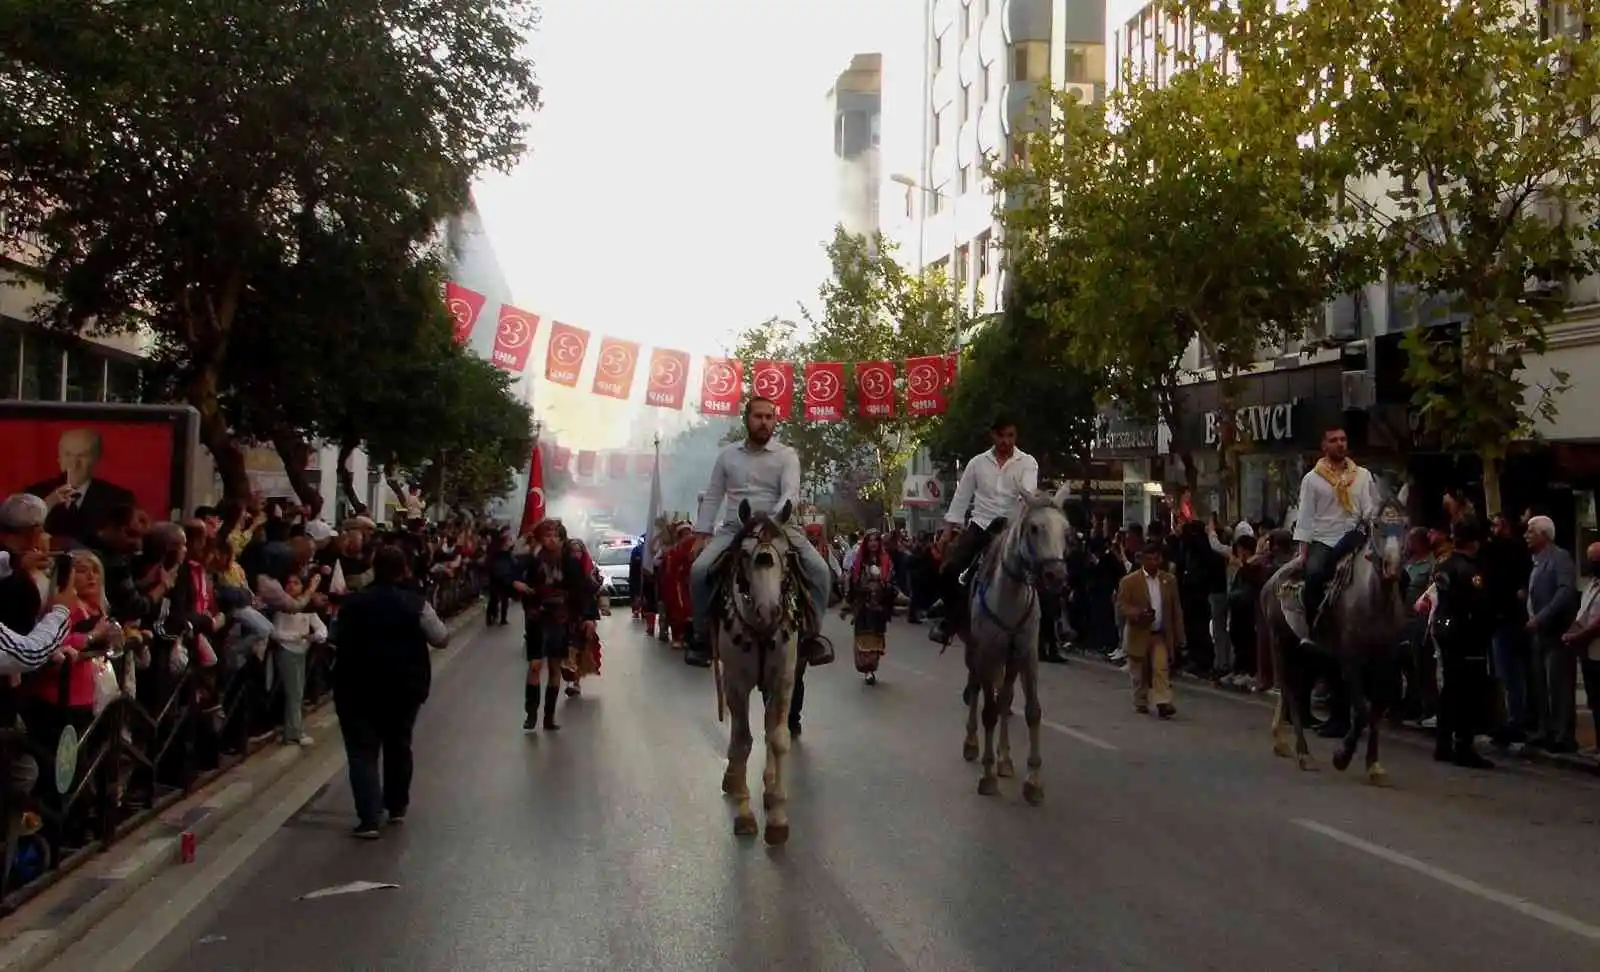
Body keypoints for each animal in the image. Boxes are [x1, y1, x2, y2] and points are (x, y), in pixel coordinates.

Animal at [716, 501, 806, 844]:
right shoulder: (736, 682)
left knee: (770, 727)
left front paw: (778, 815)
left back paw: (768, 786)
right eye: (743, 553)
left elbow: (778, 737)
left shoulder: (783, 678)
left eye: (787, 553)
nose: (769, 611)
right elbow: (742, 741)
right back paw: (733, 779)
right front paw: (744, 812)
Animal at [960, 486, 1075, 805]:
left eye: (1067, 531)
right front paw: (987, 775)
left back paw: (1005, 760)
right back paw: (972, 744)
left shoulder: (1027, 654)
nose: (1057, 577)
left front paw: (1033, 780)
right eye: (1034, 528)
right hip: (975, 651)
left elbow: (1031, 711)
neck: (1009, 595)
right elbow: (988, 711)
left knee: (1005, 699)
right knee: (976, 690)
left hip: (1009, 660)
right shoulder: (987, 652)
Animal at [1267, 501, 1408, 783]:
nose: (1392, 566)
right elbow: (1362, 711)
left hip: (1304, 656)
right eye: (1378, 525)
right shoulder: (1350, 660)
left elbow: (1375, 711)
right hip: (1281, 644)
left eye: (1406, 525)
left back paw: (1282, 742)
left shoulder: (1385, 663)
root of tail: (1274, 578)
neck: (1374, 601)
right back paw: (1303, 754)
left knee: (1290, 692)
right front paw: (1342, 756)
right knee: (1292, 694)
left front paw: (1374, 765)